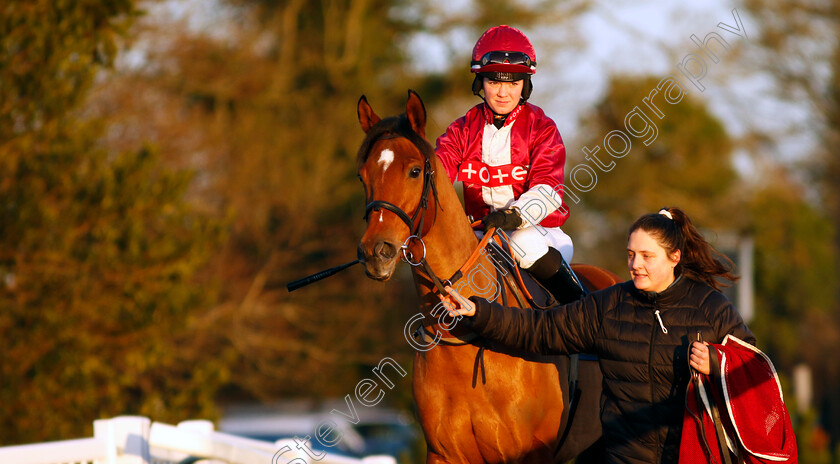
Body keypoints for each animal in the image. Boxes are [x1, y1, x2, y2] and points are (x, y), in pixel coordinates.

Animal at [354, 89, 624, 462]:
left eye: (413, 171)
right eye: (362, 175)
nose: (375, 251)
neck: (465, 339)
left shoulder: (531, 453)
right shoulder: (443, 453)